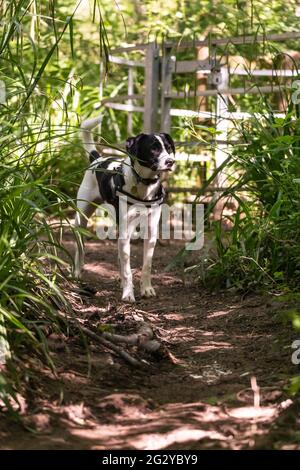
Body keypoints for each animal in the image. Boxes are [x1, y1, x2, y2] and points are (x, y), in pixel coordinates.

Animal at [74, 115, 176, 302]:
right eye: (153, 148)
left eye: (168, 147)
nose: (171, 161)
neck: (144, 185)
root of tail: (97, 159)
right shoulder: (126, 230)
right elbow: (128, 269)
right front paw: (128, 293)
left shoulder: (151, 231)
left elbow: (146, 265)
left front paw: (147, 289)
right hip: (81, 219)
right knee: (80, 246)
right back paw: (77, 272)